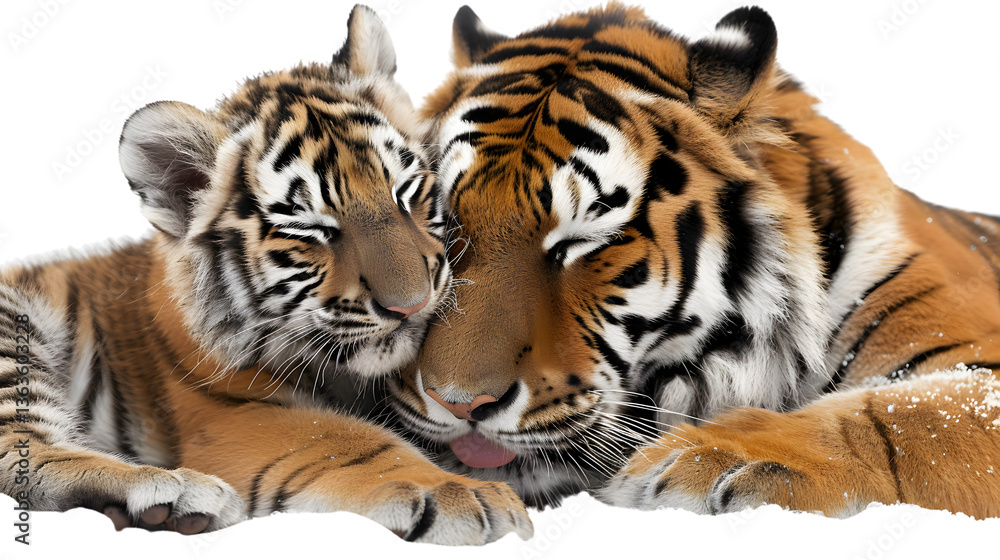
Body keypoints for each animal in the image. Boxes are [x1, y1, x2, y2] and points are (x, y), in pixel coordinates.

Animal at [0, 5, 530, 545]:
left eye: (406, 193)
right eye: (313, 230)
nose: (413, 304)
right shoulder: (236, 413)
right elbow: (350, 440)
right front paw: (466, 494)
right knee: (24, 455)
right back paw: (173, 493)